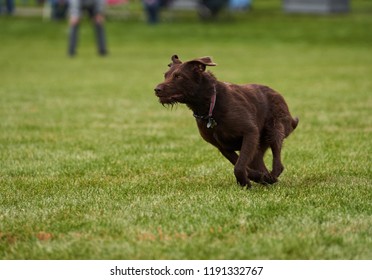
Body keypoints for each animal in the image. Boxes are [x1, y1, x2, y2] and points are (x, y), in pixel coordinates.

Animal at [155, 54, 300, 188]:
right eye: (165, 75)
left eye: (178, 76)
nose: (156, 89)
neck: (211, 106)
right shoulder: (223, 146)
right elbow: (241, 165)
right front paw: (256, 178)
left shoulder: (250, 133)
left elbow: (239, 166)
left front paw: (247, 182)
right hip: (258, 146)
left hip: (274, 129)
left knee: (278, 163)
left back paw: (272, 176)